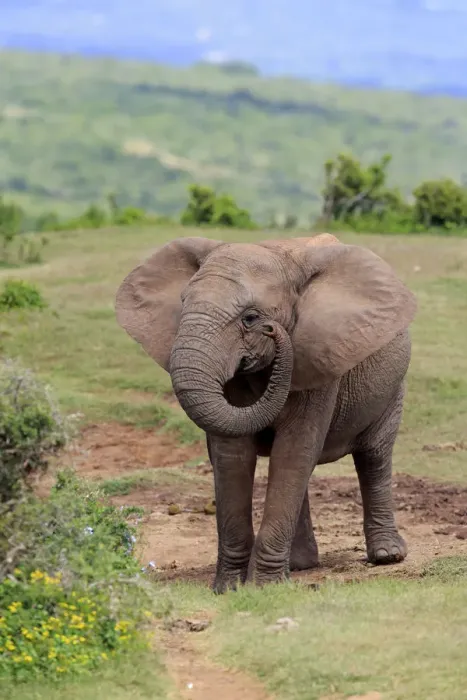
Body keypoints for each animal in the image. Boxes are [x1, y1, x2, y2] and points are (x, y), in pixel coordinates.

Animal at [115, 232, 417, 592]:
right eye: (183, 303)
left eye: (251, 318)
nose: (273, 331)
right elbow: (234, 455)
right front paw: (229, 588)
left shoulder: (317, 355)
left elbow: (294, 450)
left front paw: (264, 587)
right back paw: (300, 565)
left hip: (393, 385)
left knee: (373, 455)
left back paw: (387, 555)